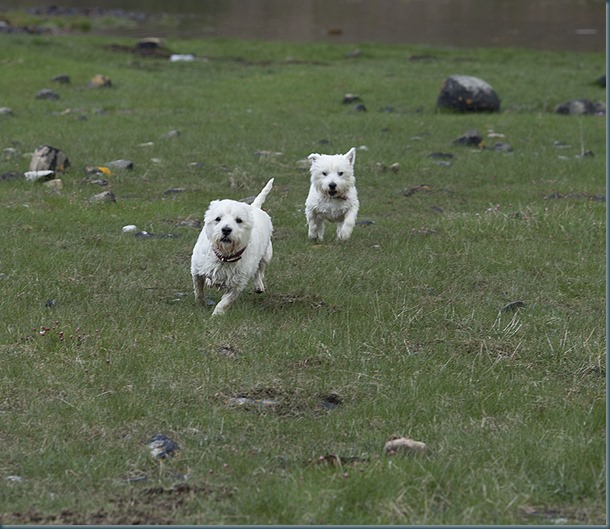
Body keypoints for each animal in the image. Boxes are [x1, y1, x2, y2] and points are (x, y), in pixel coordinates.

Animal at [191, 179, 274, 316]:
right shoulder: (197, 270)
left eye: (239, 220)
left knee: (259, 269)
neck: (224, 255)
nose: (226, 229)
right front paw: (201, 306)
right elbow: (198, 291)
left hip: (266, 254)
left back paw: (258, 286)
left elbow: (225, 302)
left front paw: (215, 316)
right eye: (217, 219)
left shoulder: (237, 283)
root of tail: (254, 207)